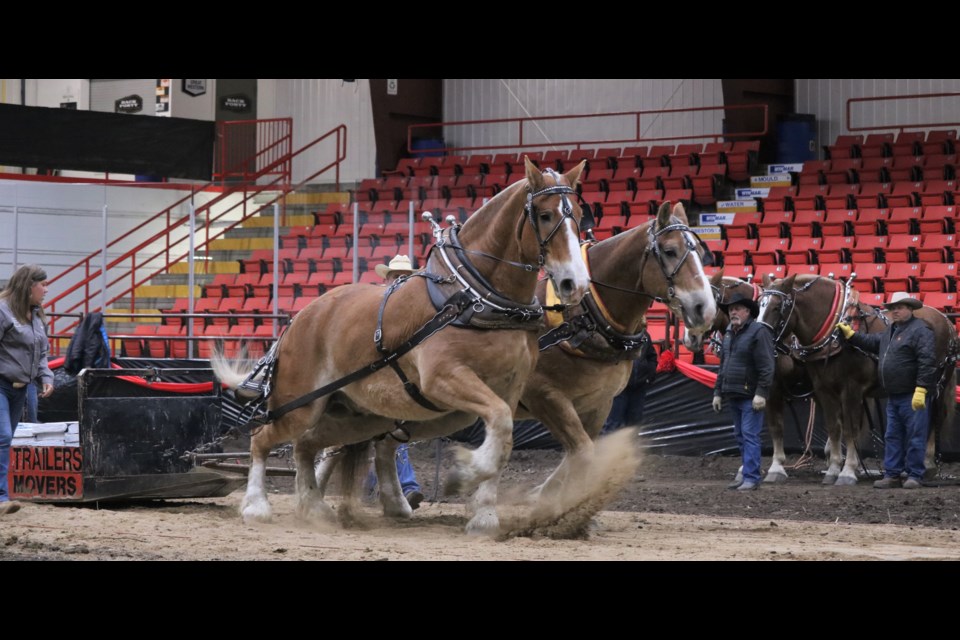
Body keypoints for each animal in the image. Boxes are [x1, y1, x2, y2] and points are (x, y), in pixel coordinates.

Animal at [216, 160, 592, 536]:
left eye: (578, 216)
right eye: (544, 215)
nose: (574, 284)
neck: (474, 296)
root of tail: (300, 318)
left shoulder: (511, 389)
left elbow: (504, 439)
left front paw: (484, 516)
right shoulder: (443, 377)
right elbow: (498, 425)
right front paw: (463, 475)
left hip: (361, 416)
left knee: (306, 445)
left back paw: (314, 506)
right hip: (299, 405)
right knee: (262, 438)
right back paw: (257, 506)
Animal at [756, 276, 960, 484]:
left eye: (777, 307)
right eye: (759, 305)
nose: (760, 338)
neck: (833, 335)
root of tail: (945, 319)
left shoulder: (851, 389)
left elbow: (849, 430)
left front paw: (847, 471)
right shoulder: (823, 389)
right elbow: (831, 427)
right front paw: (833, 469)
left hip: (936, 385)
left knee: (932, 419)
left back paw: (927, 465)